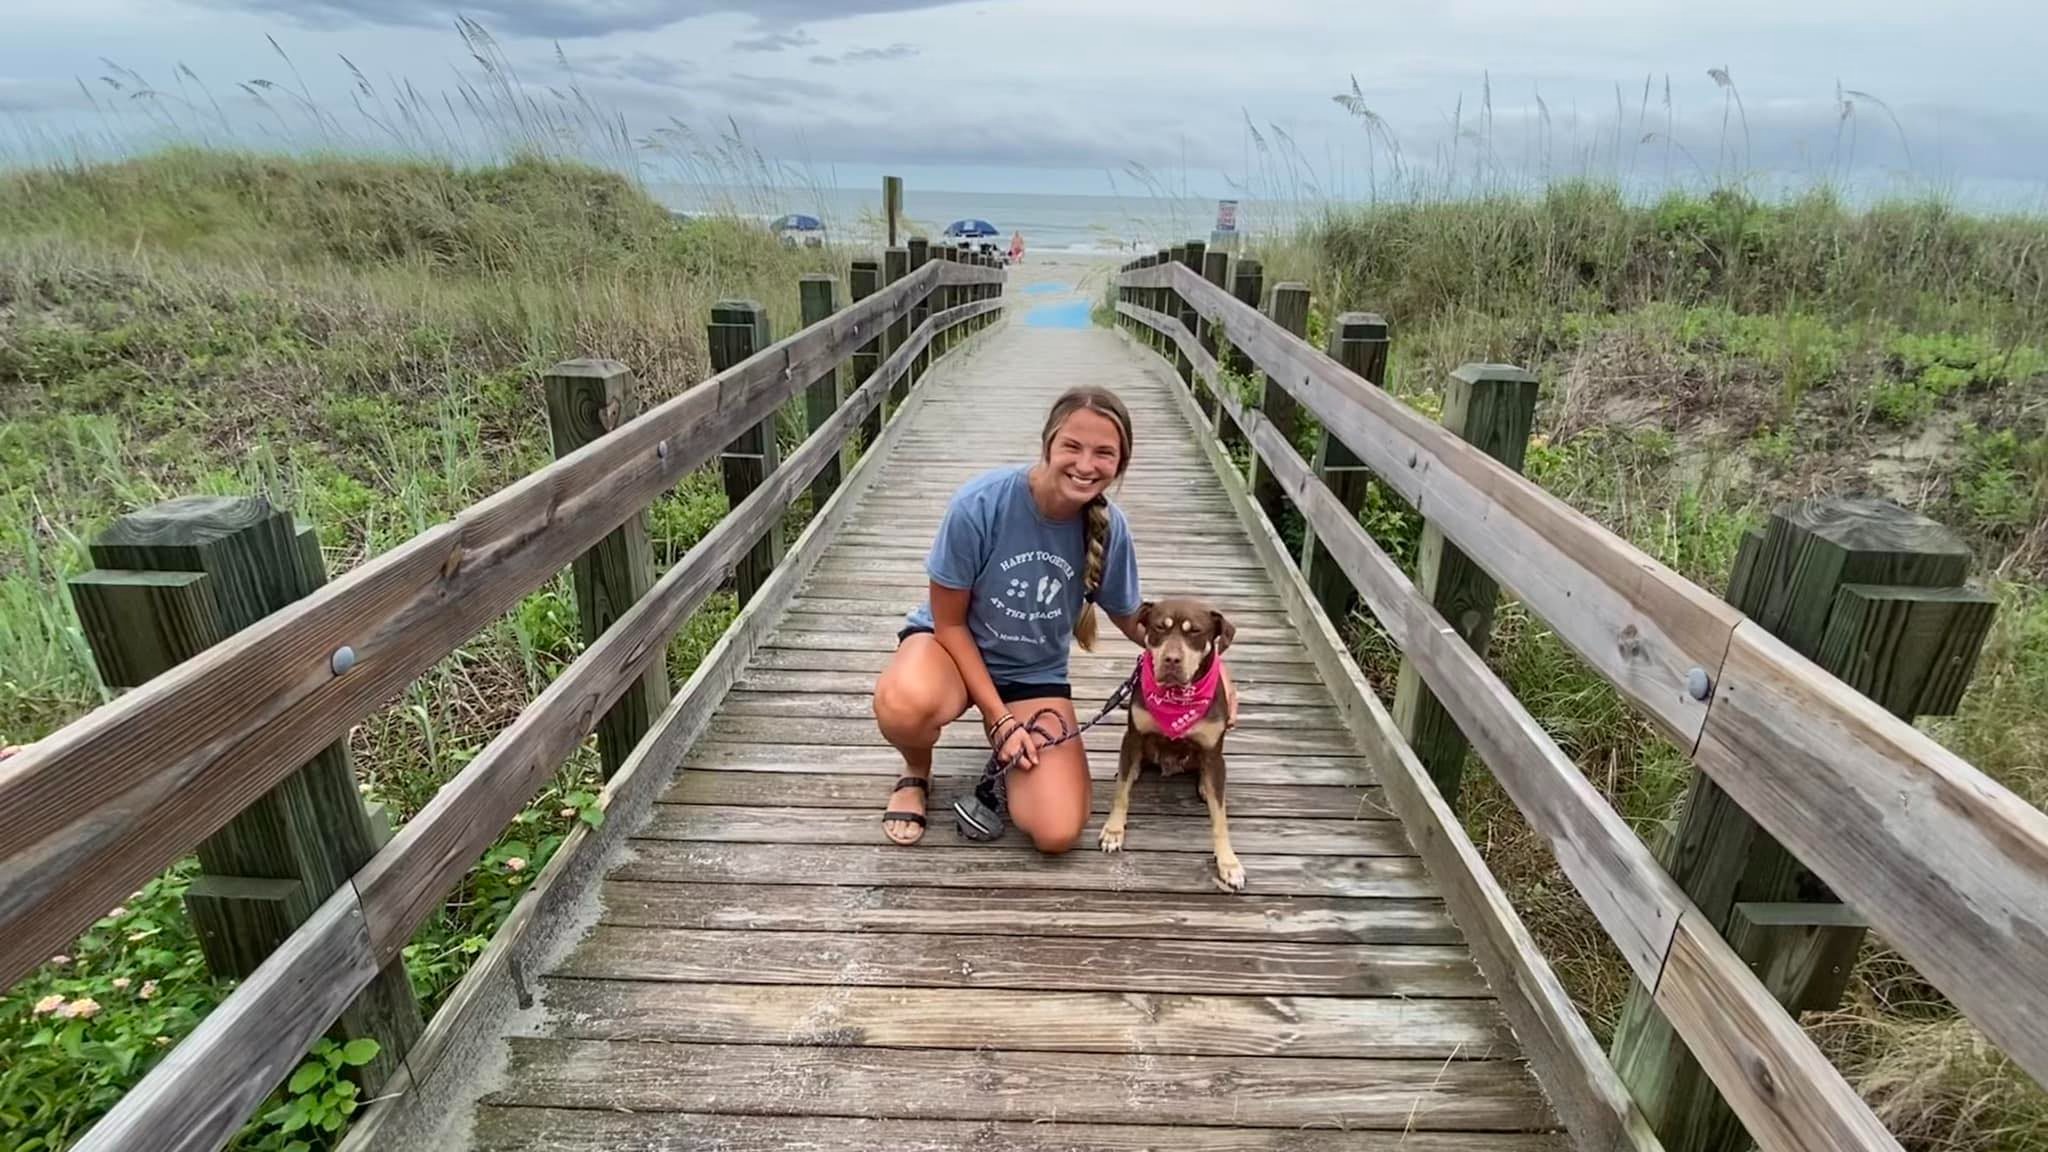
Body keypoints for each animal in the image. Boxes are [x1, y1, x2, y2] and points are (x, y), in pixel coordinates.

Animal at [1097, 594, 1236, 893]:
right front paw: (1113, 831)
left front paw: (1229, 863)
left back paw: (1204, 786)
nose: (1172, 659)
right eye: (1160, 627)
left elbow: (1220, 818)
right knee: (1133, 765)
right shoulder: (1133, 736)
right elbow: (1121, 793)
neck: (1176, 698)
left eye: (1195, 632)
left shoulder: (1213, 752)